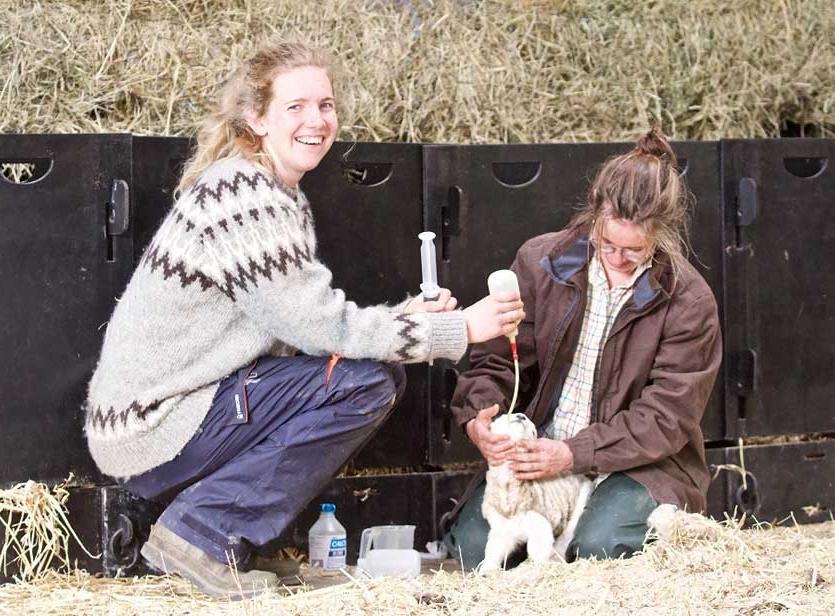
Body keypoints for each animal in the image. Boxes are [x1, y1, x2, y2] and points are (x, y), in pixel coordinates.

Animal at [476, 414, 596, 572]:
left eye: (533, 431)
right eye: (506, 415)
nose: (521, 416)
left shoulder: (537, 513)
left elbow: (539, 543)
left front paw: (537, 566)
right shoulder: (501, 524)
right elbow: (494, 547)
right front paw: (486, 570)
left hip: (582, 498)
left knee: (566, 537)